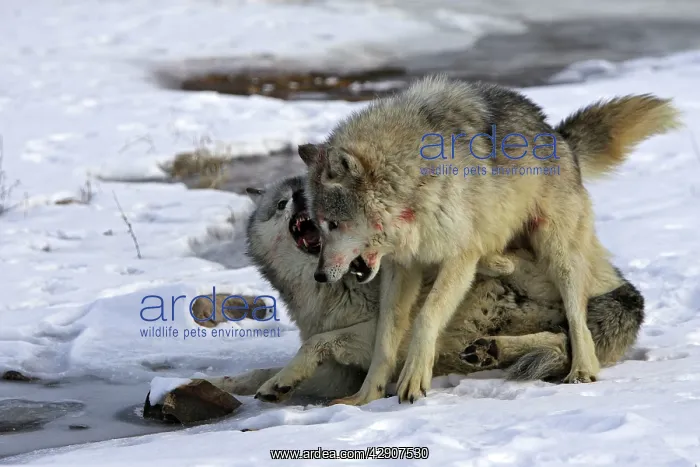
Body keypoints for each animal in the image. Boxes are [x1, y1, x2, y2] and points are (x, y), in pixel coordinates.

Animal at [202, 173, 644, 403]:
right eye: (281, 204)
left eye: (307, 191)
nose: (297, 197)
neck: (332, 288)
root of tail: (629, 291)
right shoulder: (339, 372)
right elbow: (262, 370)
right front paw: (244, 385)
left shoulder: (373, 334)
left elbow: (316, 343)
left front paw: (280, 382)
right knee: (558, 338)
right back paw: (489, 349)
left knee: (565, 330)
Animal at [298, 77, 679, 405]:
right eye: (317, 226)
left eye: (333, 224)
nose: (319, 275)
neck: (413, 181)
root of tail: (557, 133)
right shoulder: (402, 268)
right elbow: (385, 337)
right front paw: (366, 396)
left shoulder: (457, 259)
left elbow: (426, 318)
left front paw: (414, 380)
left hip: (557, 252)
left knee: (577, 320)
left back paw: (582, 370)